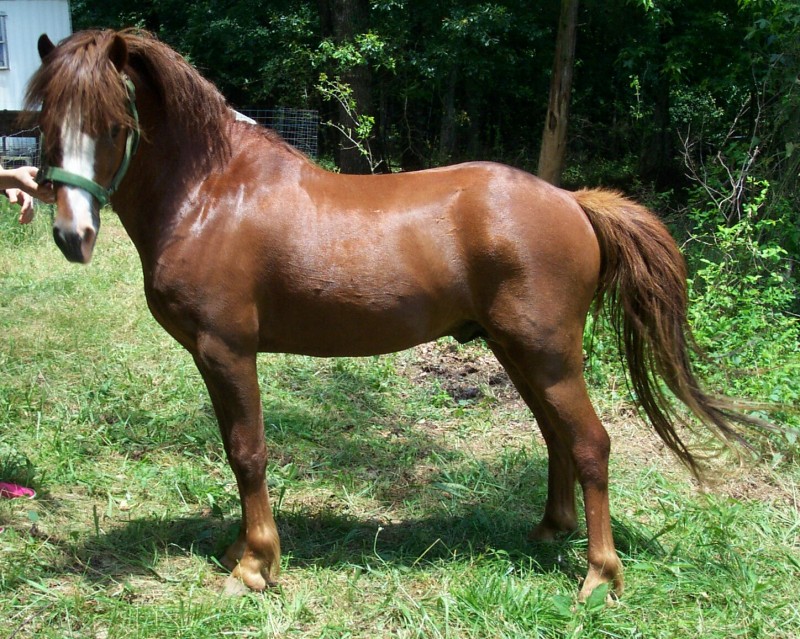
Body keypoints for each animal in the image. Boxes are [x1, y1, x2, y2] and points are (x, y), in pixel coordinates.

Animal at [26, 29, 764, 601]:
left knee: (590, 443)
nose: (71, 235)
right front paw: (241, 548)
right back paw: (550, 531)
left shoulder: (226, 350)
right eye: (43, 125)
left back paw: (599, 577)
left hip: (548, 353)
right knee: (557, 436)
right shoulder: (213, 358)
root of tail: (575, 202)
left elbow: (247, 451)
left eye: (115, 125)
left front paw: (255, 564)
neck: (212, 193)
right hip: (518, 352)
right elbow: (238, 453)